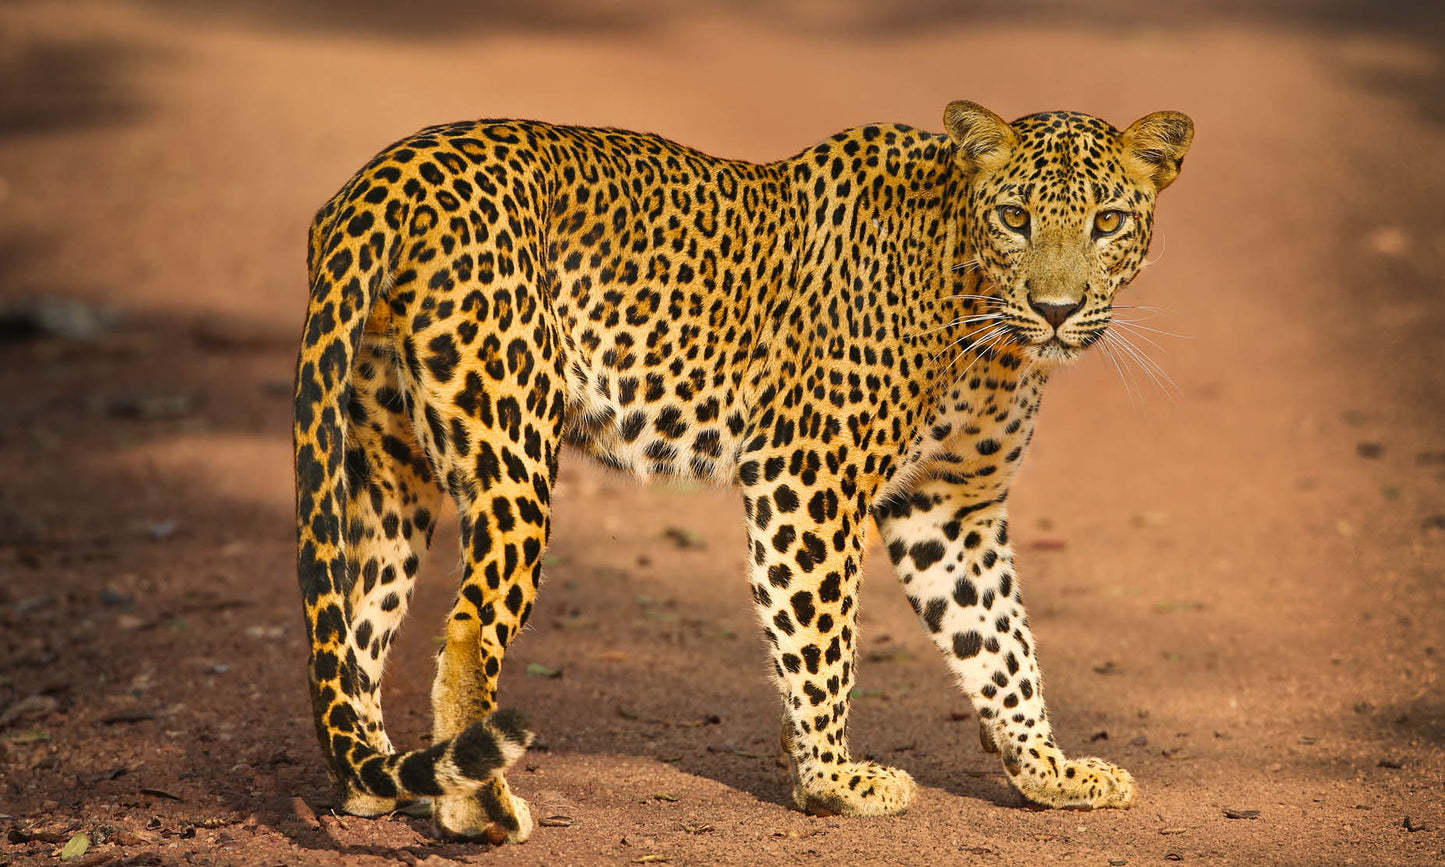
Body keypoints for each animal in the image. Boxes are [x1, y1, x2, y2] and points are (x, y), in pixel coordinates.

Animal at [293, 100, 1193, 843]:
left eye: (1108, 220)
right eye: (1013, 216)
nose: (1055, 309)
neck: (985, 328)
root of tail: (389, 175)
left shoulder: (949, 511)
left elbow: (998, 641)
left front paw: (1049, 770)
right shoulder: (808, 477)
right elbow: (821, 638)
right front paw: (833, 782)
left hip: (389, 466)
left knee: (353, 624)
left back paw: (378, 782)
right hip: (509, 449)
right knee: (467, 625)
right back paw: (476, 807)